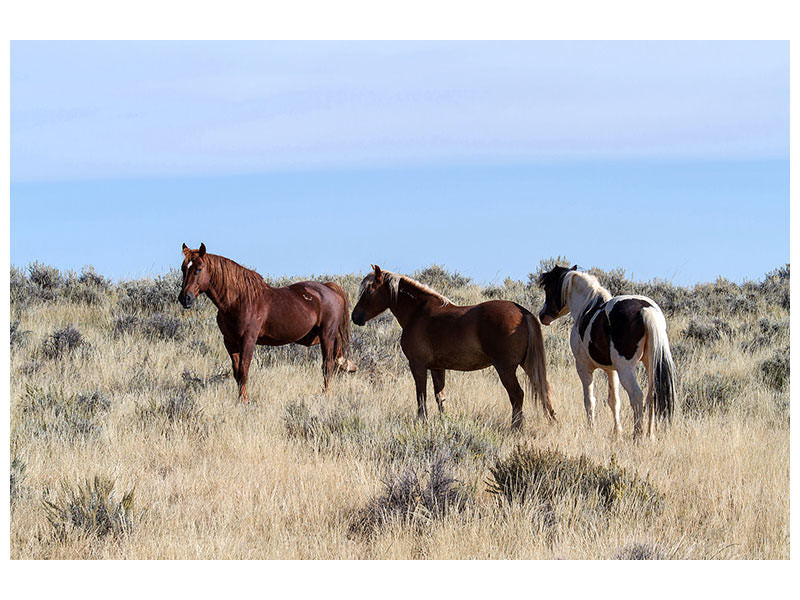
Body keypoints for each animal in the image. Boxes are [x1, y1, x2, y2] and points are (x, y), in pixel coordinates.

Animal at [183, 244, 358, 404]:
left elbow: (244, 371)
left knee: (327, 365)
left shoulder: (248, 340)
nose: (185, 298)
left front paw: (244, 401)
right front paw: (240, 399)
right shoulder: (230, 342)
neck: (237, 301)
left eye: (199, 269)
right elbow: (237, 373)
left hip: (327, 336)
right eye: (183, 268)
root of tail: (330, 289)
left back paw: (325, 395)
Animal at [350, 264, 556, 428]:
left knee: (517, 395)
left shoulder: (417, 365)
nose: (355, 316)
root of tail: (523, 312)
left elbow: (421, 396)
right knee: (544, 390)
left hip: (505, 368)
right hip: (527, 365)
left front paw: (422, 421)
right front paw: (444, 422)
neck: (417, 313)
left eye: (369, 290)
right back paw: (552, 421)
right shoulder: (437, 368)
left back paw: (516, 428)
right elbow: (440, 397)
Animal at [536, 264, 676, 438]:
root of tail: (645, 309)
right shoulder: (611, 370)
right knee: (652, 396)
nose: (542, 316)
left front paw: (591, 429)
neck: (586, 308)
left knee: (637, 396)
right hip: (650, 364)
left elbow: (589, 400)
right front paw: (617, 432)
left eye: (548, 288)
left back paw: (637, 435)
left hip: (626, 369)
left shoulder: (584, 367)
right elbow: (614, 401)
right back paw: (650, 436)